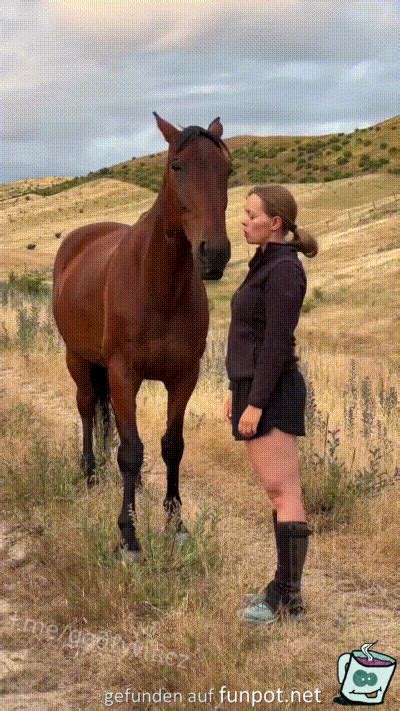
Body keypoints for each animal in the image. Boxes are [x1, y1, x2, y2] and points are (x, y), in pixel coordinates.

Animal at [53, 113, 232, 559]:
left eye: (227, 170)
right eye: (177, 166)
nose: (214, 254)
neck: (158, 288)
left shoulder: (184, 377)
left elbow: (172, 446)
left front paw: (176, 524)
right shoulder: (124, 374)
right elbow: (132, 451)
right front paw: (128, 535)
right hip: (79, 359)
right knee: (87, 409)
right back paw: (90, 473)